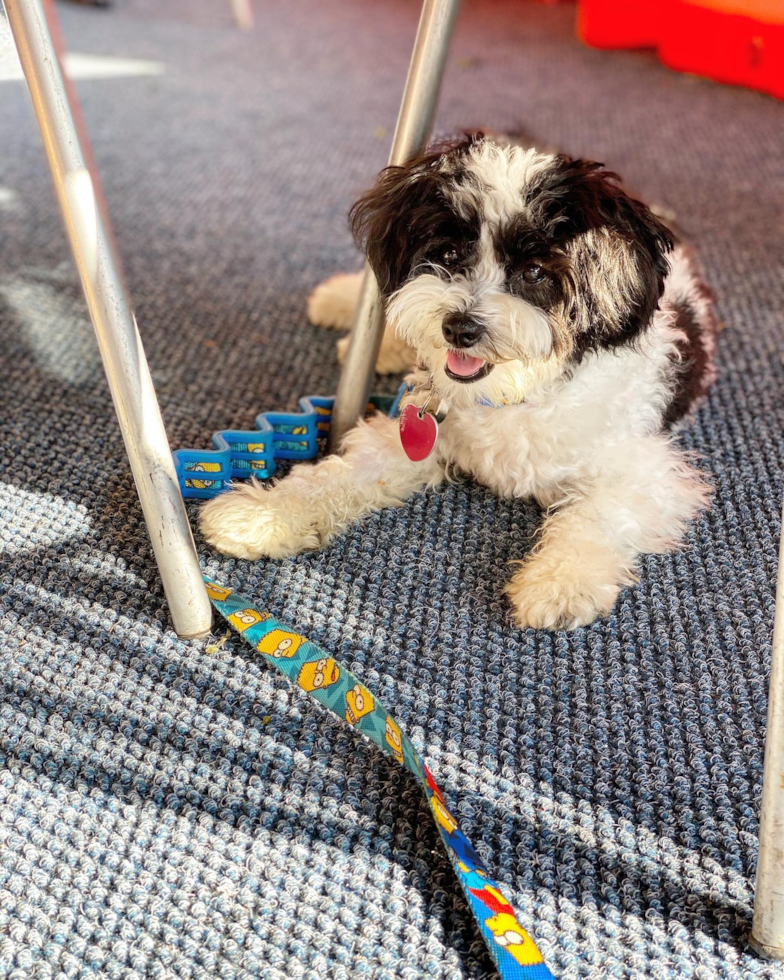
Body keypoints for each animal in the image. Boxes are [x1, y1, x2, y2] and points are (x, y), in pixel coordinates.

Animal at [201, 132, 716, 628]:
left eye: (534, 271)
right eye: (449, 252)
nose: (460, 328)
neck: (516, 397)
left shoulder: (645, 471)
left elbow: (599, 516)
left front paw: (559, 584)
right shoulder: (417, 429)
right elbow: (339, 474)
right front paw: (260, 514)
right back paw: (344, 308)